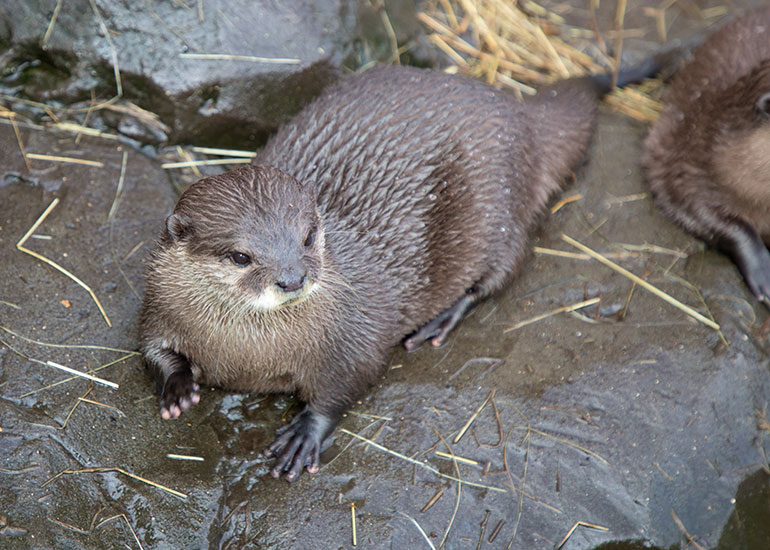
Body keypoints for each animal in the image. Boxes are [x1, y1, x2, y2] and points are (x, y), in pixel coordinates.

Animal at [140, 64, 657, 481]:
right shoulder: (158, 304)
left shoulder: (352, 336)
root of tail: (518, 114)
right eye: (240, 257)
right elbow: (150, 348)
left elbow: (351, 380)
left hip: (499, 206)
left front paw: (306, 434)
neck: (248, 353)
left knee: (505, 269)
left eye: (308, 236)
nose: (292, 278)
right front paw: (178, 387)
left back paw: (439, 321)